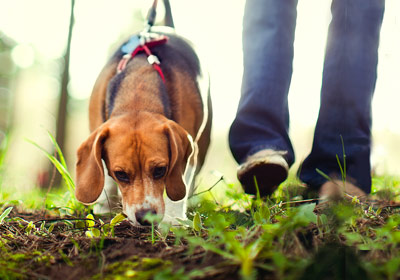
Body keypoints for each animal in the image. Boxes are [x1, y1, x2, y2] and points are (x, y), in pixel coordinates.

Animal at [76, 26, 212, 225]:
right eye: (121, 174)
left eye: (160, 170)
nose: (145, 217)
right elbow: (104, 175)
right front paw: (104, 207)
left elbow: (180, 183)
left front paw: (173, 218)